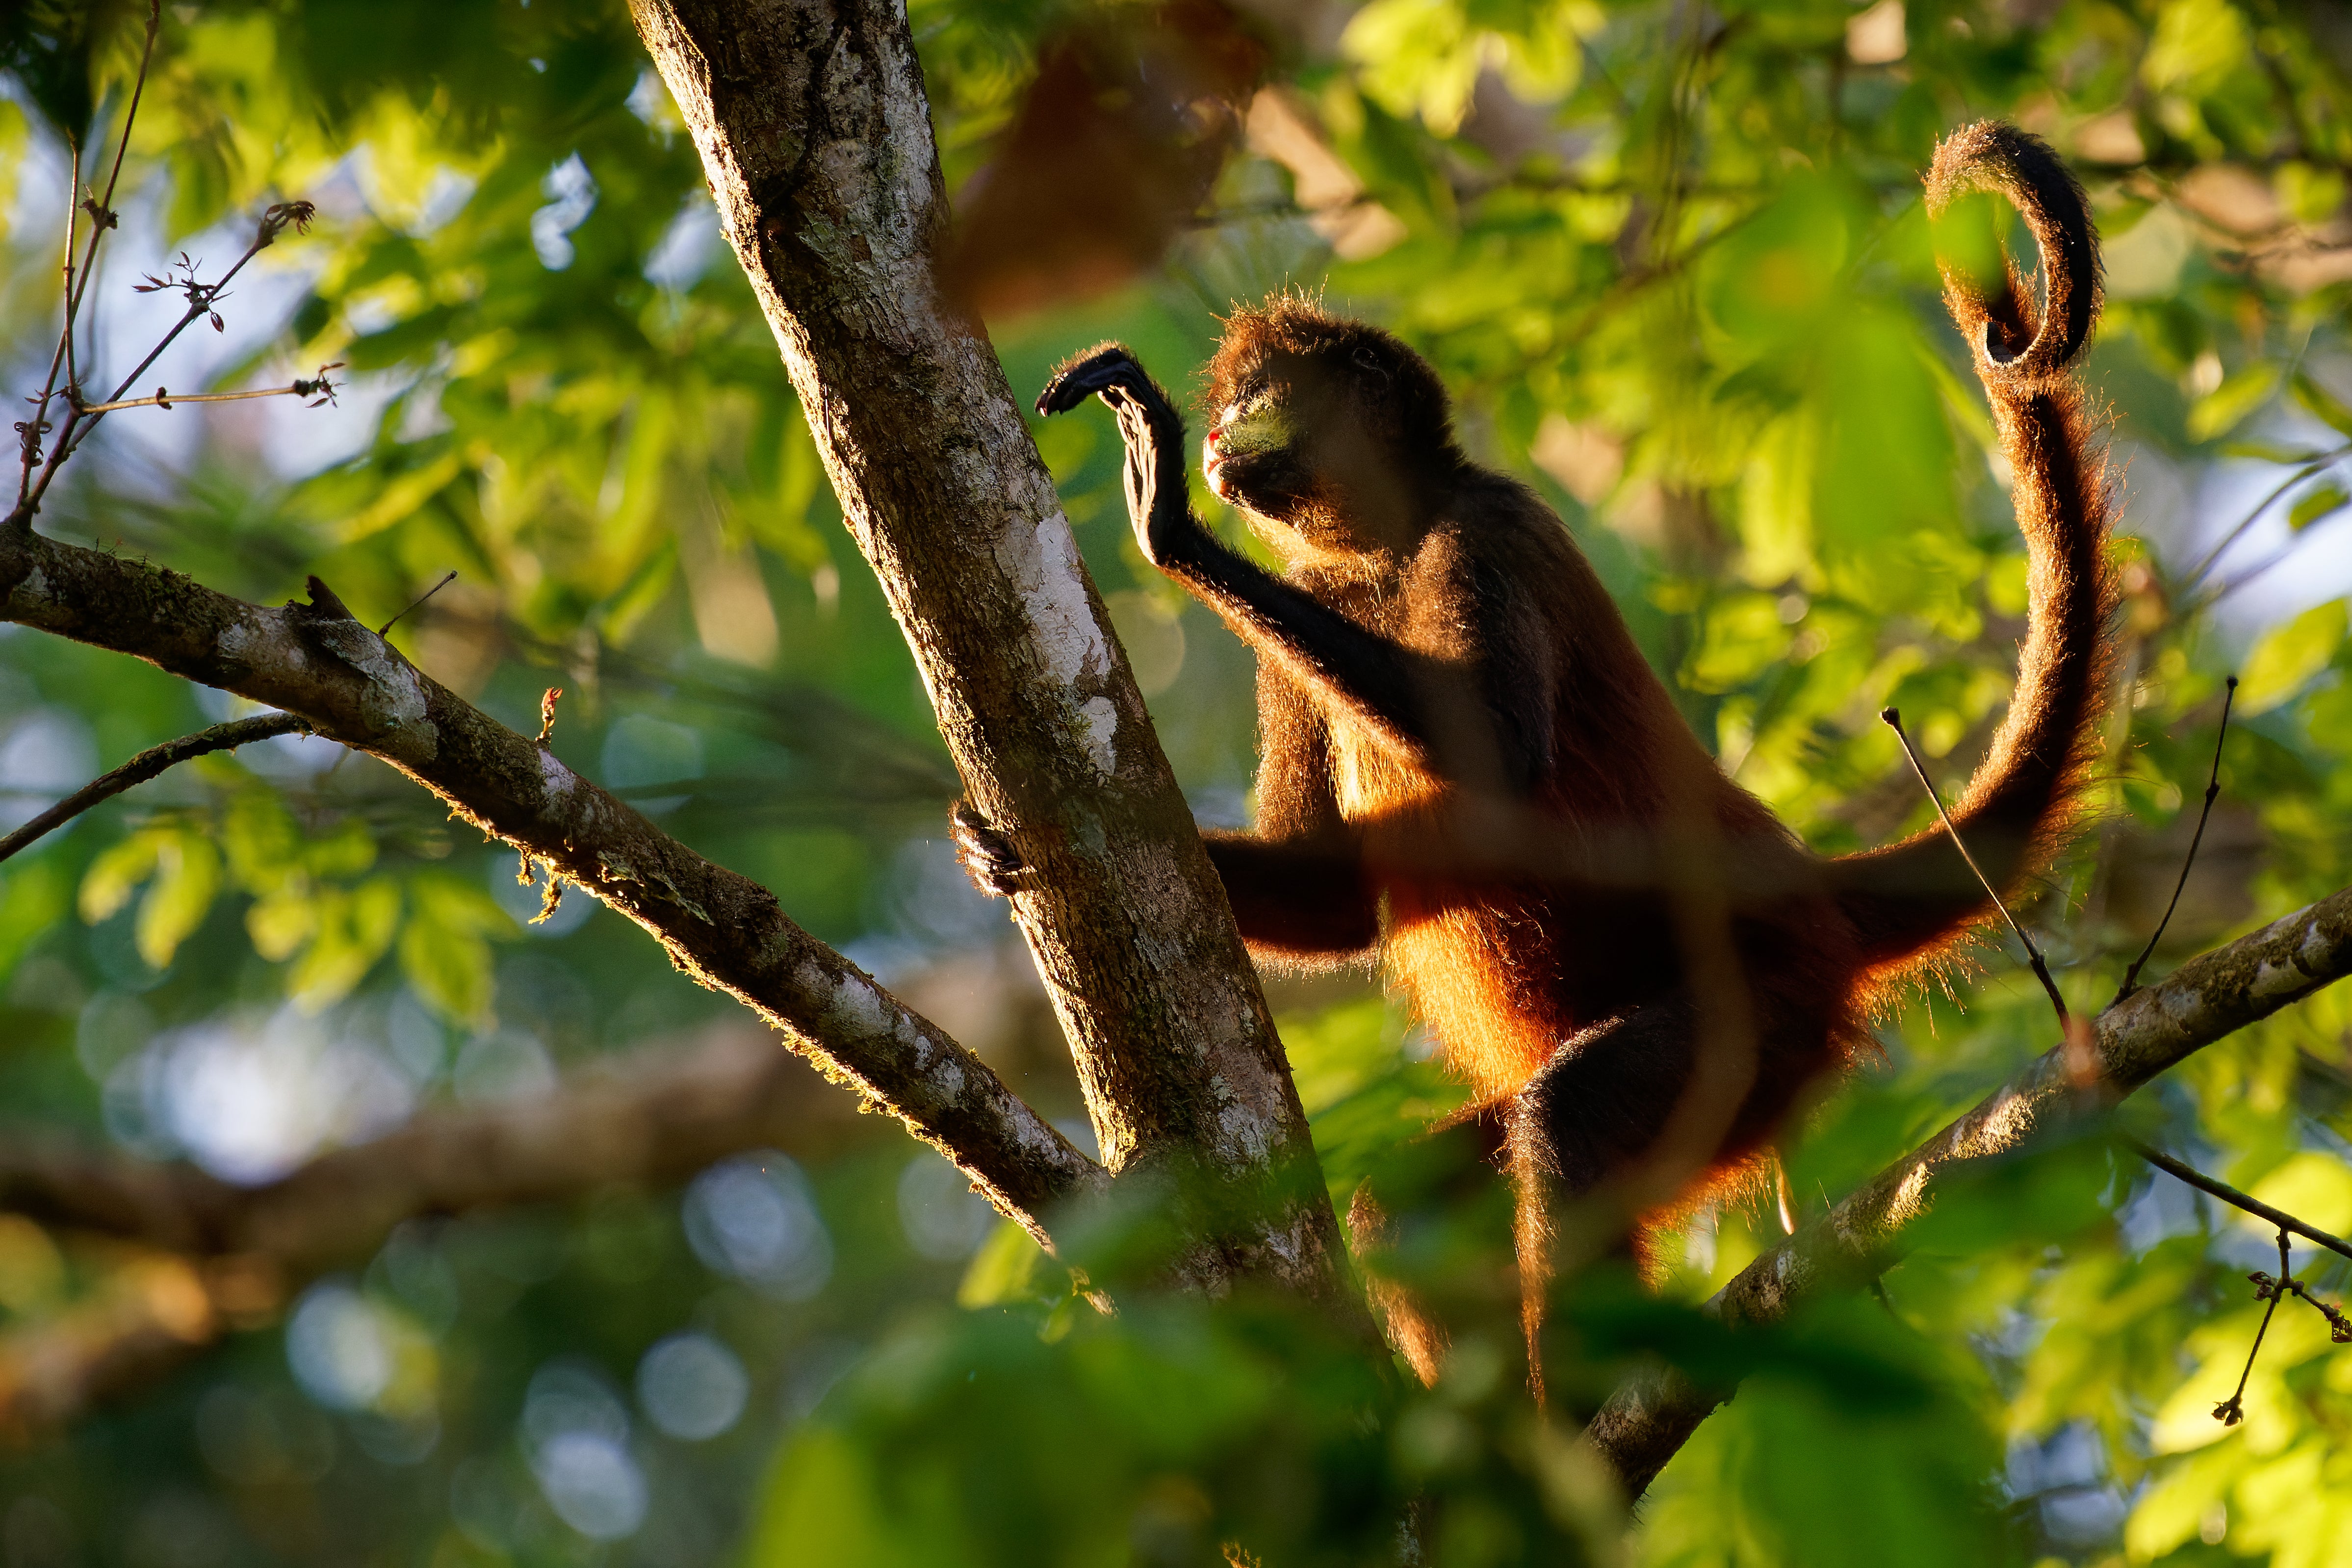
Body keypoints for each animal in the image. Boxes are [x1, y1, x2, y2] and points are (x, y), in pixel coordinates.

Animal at [955, 120, 2117, 1373]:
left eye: (1256, 397)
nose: (1219, 438)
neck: (1383, 549)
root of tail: (1799, 884)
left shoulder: (1488, 530)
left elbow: (1504, 757)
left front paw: (1166, 508)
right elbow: (1334, 896)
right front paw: (1001, 841)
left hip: (1765, 1011)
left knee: (1568, 1118)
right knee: (1409, 1200)